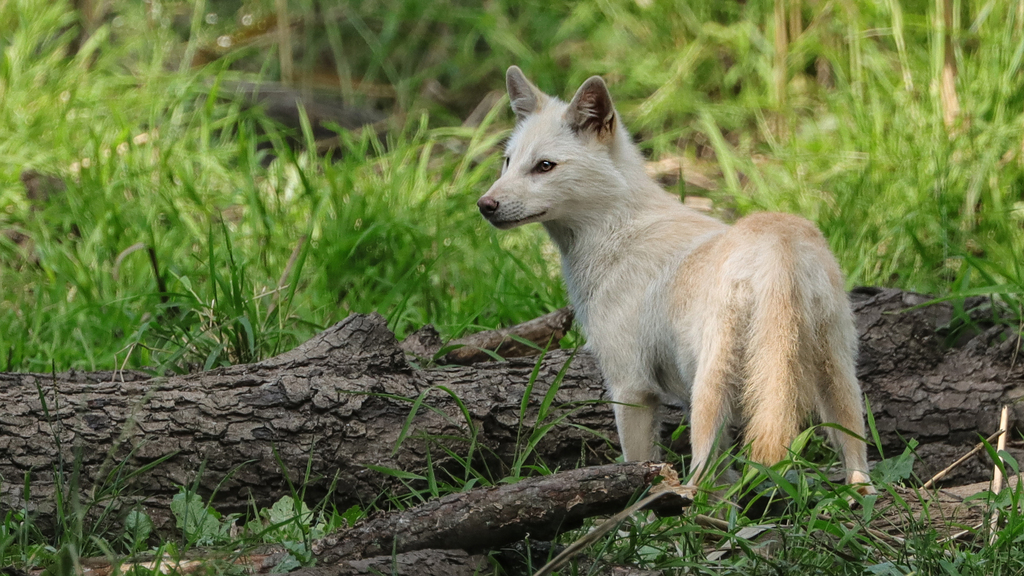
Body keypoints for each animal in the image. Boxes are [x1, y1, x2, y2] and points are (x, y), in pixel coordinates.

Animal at [477, 66, 872, 487]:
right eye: (507, 162)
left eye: (545, 166)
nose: (485, 205)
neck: (616, 235)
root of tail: (780, 242)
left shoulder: (630, 386)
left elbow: (637, 464)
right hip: (838, 383)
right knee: (859, 467)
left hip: (708, 395)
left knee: (700, 481)